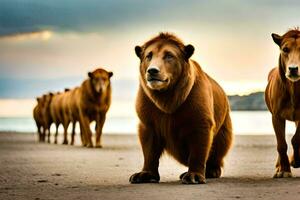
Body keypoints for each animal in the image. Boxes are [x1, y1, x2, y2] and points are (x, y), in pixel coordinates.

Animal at [129, 32, 232, 184]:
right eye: (149, 55)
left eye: (169, 55)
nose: (153, 70)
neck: (167, 97)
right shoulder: (149, 106)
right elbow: (149, 143)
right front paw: (143, 174)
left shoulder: (194, 103)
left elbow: (199, 141)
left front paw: (194, 175)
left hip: (224, 124)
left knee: (220, 145)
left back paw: (211, 170)